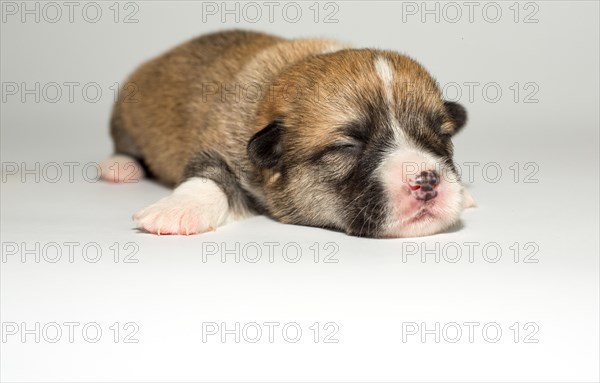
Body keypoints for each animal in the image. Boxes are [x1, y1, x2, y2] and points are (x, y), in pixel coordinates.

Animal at [101, 30, 476, 238]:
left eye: (443, 136)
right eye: (347, 145)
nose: (427, 179)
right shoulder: (222, 145)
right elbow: (208, 175)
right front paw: (177, 210)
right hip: (126, 115)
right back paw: (120, 166)